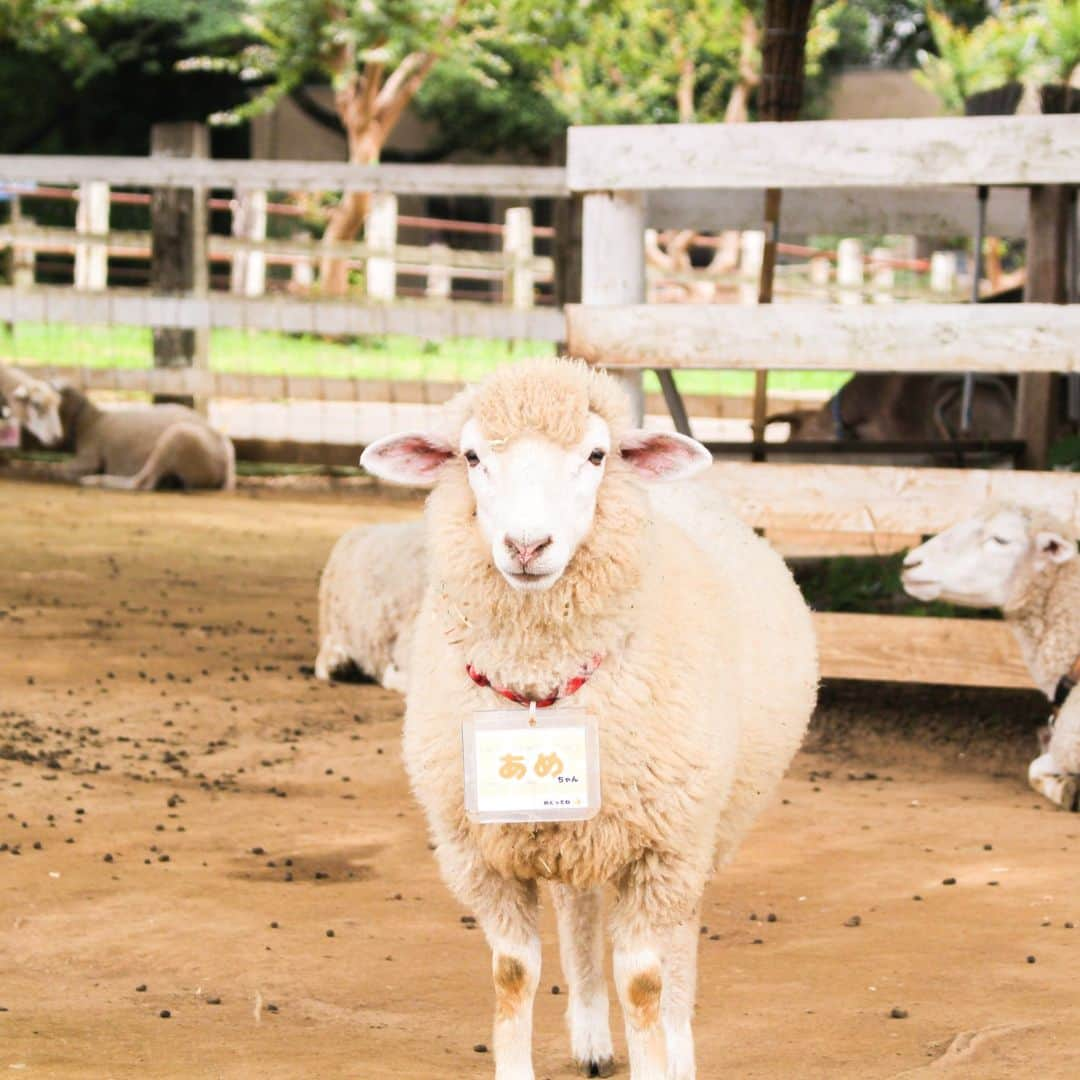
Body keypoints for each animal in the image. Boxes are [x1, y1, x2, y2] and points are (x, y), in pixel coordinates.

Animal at [46, 384, 234, 494]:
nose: (53, 438)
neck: (93, 420)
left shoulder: (90, 455)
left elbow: (60, 468)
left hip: (176, 438)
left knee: (142, 483)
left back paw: (94, 480)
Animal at [358, 360, 812, 1080]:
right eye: (471, 456)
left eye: (597, 456)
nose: (526, 544)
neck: (539, 689)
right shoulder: (483, 857)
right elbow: (513, 974)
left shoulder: (662, 850)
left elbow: (646, 983)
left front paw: (660, 1057)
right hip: (578, 825)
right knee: (578, 909)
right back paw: (593, 1036)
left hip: (700, 831)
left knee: (678, 945)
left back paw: (678, 1049)